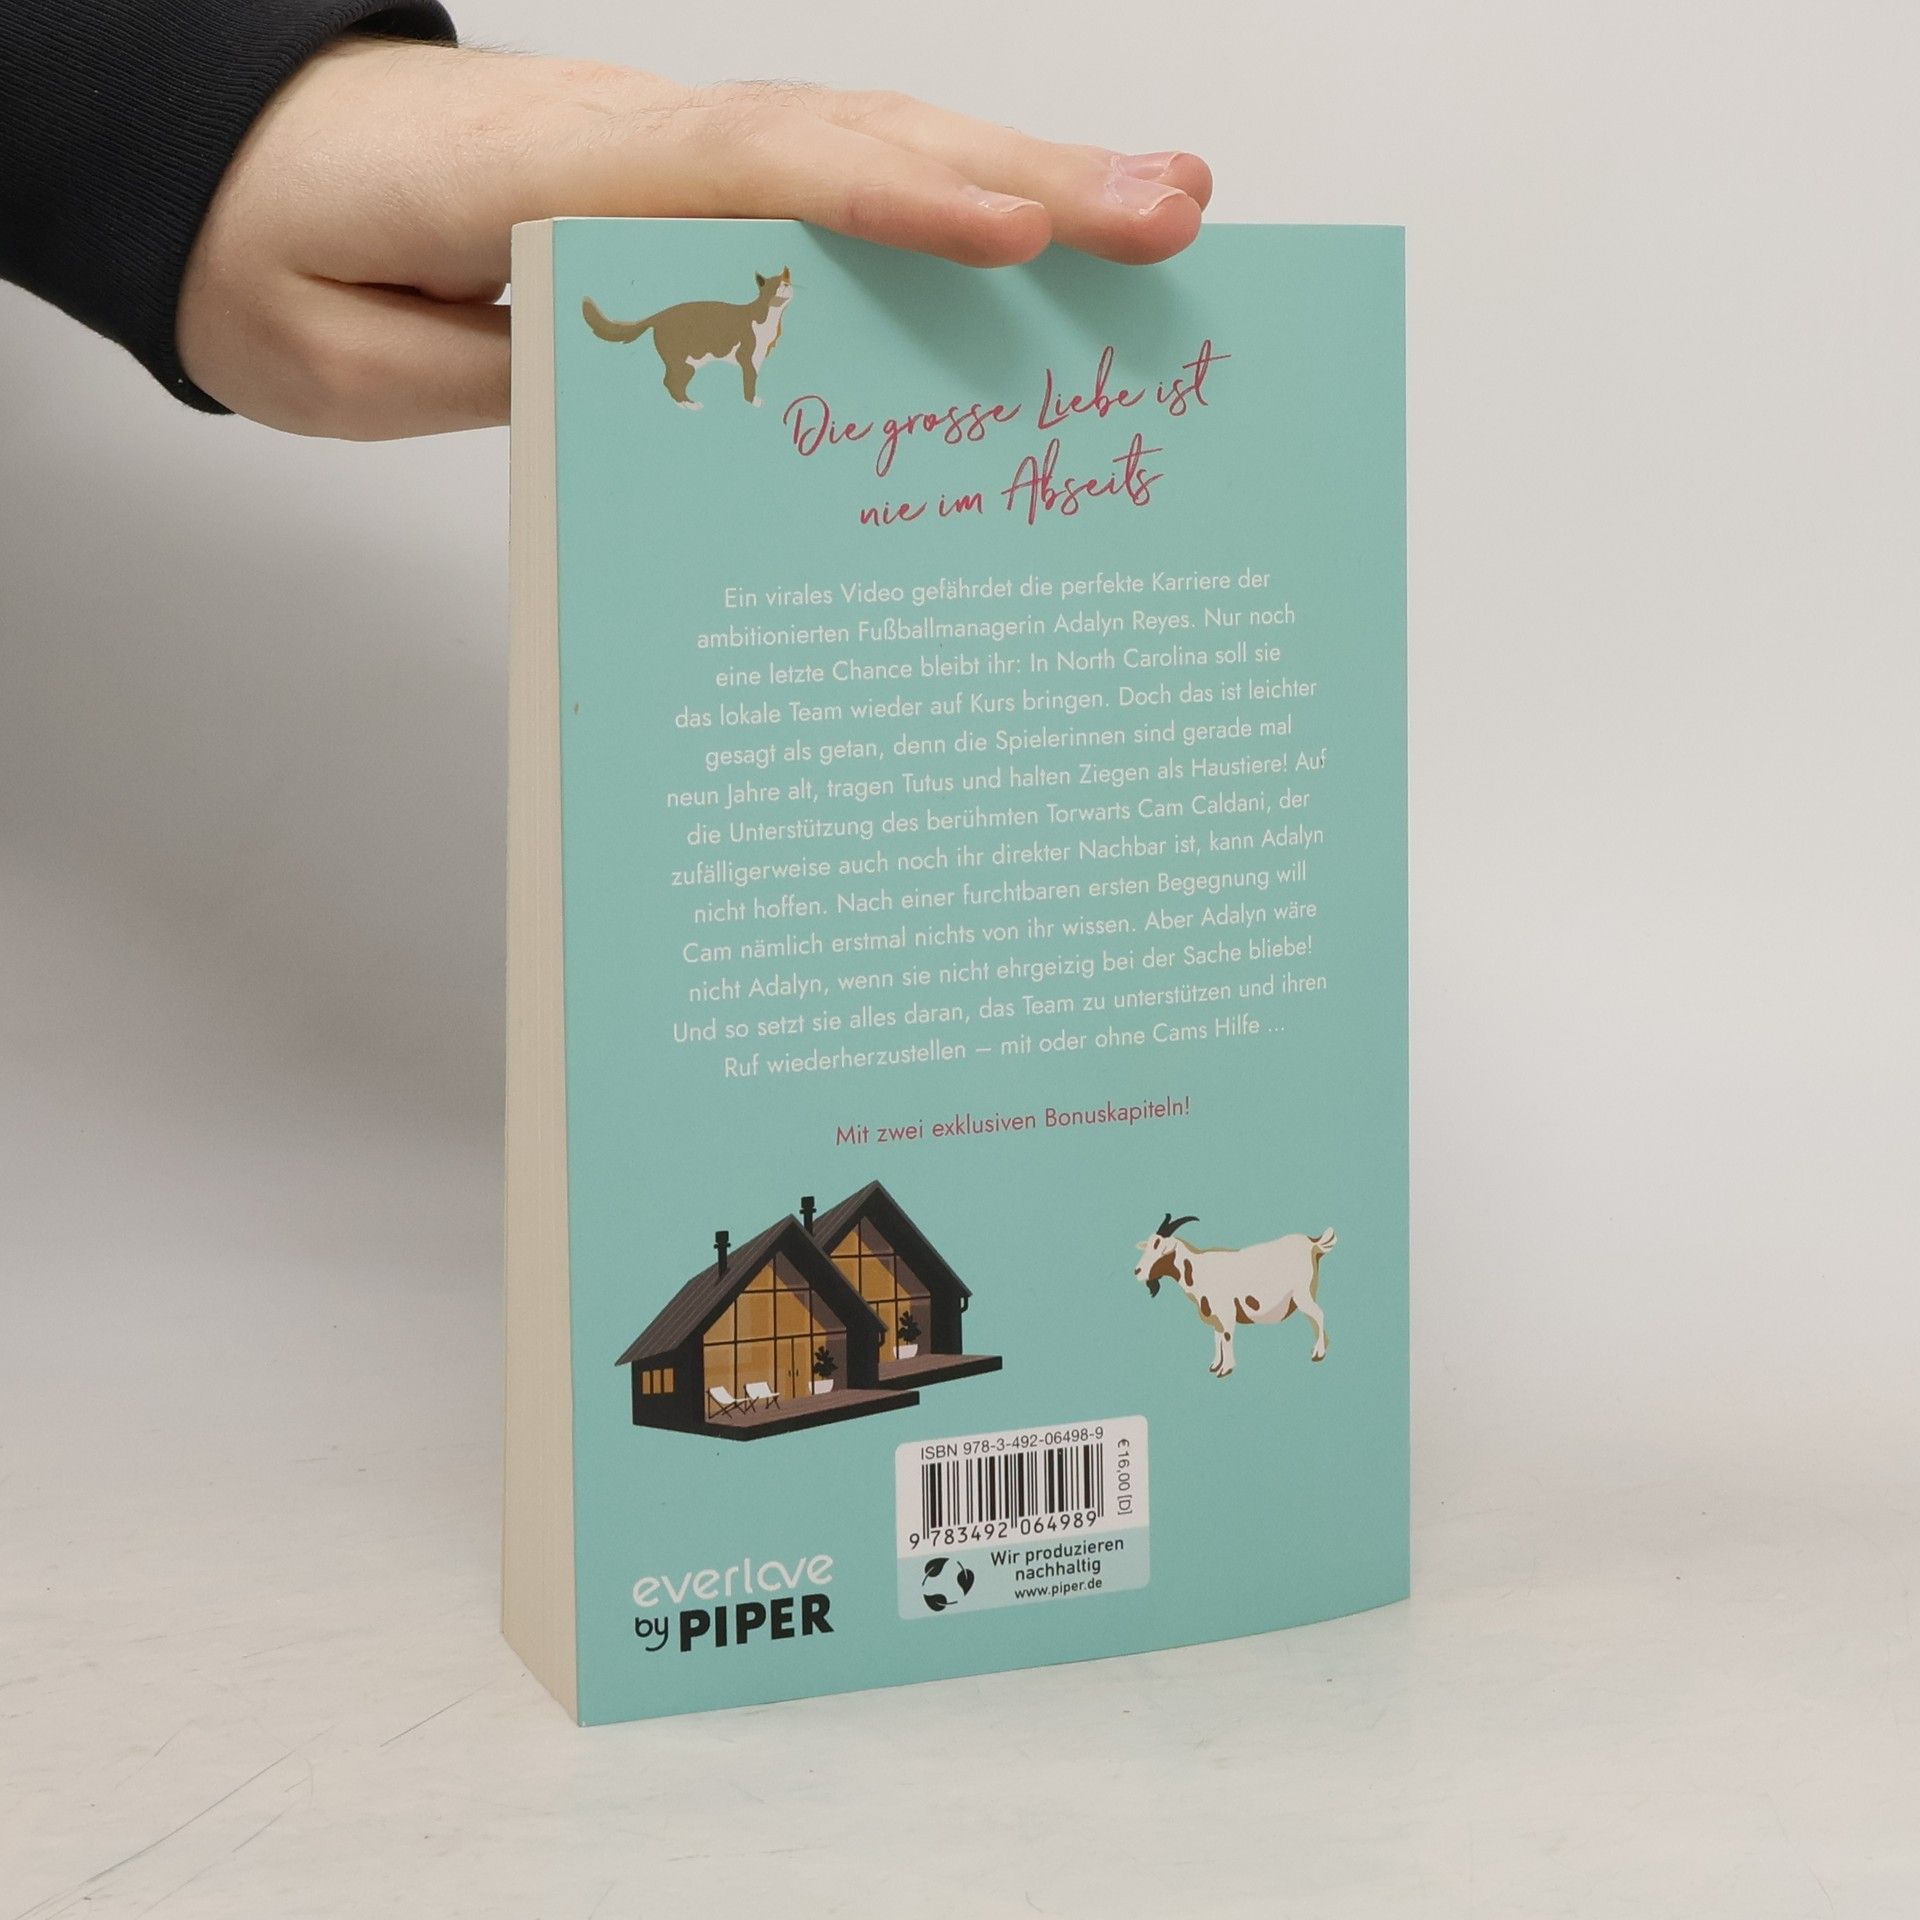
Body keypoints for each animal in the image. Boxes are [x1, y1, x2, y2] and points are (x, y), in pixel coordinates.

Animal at [1133, 1212, 1337, 1378]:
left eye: (1160, 1246)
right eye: (1148, 1245)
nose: (1137, 1271)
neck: (1199, 1270)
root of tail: (1312, 1243)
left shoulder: (1226, 1313)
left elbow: (1227, 1337)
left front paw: (1225, 1369)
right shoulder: (1215, 1317)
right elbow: (1217, 1339)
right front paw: (1215, 1366)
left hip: (1303, 1294)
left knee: (1318, 1314)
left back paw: (1318, 1353)